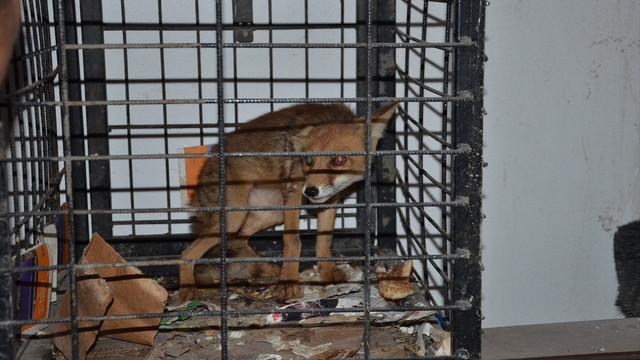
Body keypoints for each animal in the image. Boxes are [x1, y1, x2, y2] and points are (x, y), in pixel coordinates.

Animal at [180, 101, 398, 300]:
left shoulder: (330, 199)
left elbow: (324, 241)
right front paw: (289, 283)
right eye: (308, 160)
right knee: (187, 253)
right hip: (235, 216)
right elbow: (293, 241)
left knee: (238, 240)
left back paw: (267, 269)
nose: (310, 191)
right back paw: (188, 289)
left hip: (270, 213)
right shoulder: (293, 192)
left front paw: (327, 272)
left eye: (339, 160)